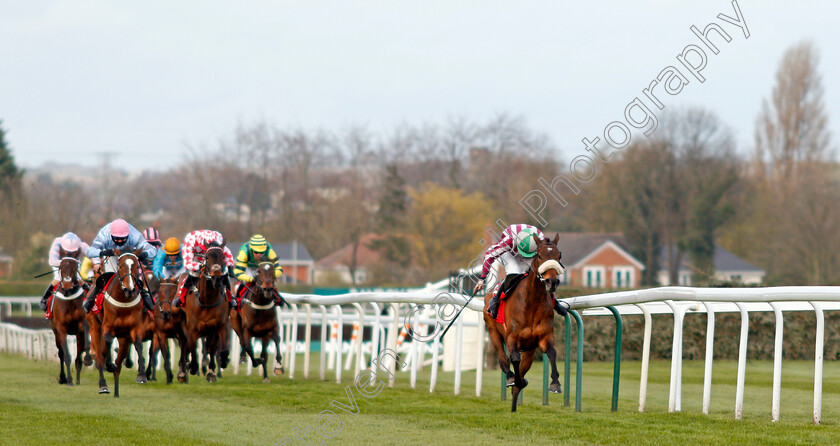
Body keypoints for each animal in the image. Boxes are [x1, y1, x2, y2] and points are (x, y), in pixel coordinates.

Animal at [49, 253, 91, 386]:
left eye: (74, 266)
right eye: (62, 266)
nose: (67, 284)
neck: (69, 299)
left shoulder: (80, 328)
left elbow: (81, 354)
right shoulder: (61, 328)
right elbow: (66, 356)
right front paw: (69, 380)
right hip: (55, 332)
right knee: (61, 354)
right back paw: (63, 378)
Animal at [88, 249, 150, 396]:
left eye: (136, 267)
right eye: (120, 266)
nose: (129, 289)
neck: (123, 301)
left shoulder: (134, 327)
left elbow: (138, 344)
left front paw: (142, 375)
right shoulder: (107, 326)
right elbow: (108, 340)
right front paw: (109, 365)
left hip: (123, 338)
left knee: (119, 361)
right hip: (94, 327)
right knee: (99, 356)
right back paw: (103, 385)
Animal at [177, 246, 230, 382]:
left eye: (223, 256)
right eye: (207, 257)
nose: (216, 279)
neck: (207, 301)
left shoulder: (219, 327)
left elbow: (218, 350)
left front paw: (213, 371)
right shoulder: (192, 329)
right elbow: (192, 350)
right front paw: (192, 367)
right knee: (184, 345)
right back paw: (183, 371)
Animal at [486, 233, 564, 412]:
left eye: (559, 256)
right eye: (540, 256)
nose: (552, 282)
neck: (532, 303)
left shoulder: (544, 336)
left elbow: (552, 353)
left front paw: (555, 384)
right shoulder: (512, 337)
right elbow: (513, 358)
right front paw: (516, 379)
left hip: (529, 351)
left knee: (520, 372)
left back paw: (514, 407)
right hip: (493, 331)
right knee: (502, 358)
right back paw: (510, 378)